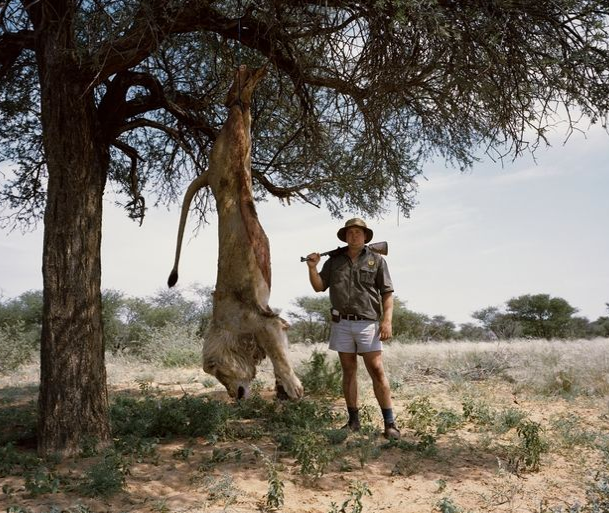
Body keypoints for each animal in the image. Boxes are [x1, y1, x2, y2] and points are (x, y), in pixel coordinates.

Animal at [169, 64, 304, 400]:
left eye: (216, 370)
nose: (234, 395)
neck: (222, 323)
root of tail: (207, 173)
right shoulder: (272, 321)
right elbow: (280, 353)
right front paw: (283, 391)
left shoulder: (263, 323)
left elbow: (280, 357)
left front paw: (293, 389)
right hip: (238, 156)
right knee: (242, 117)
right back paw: (248, 79)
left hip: (227, 155)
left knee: (234, 116)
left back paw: (243, 82)